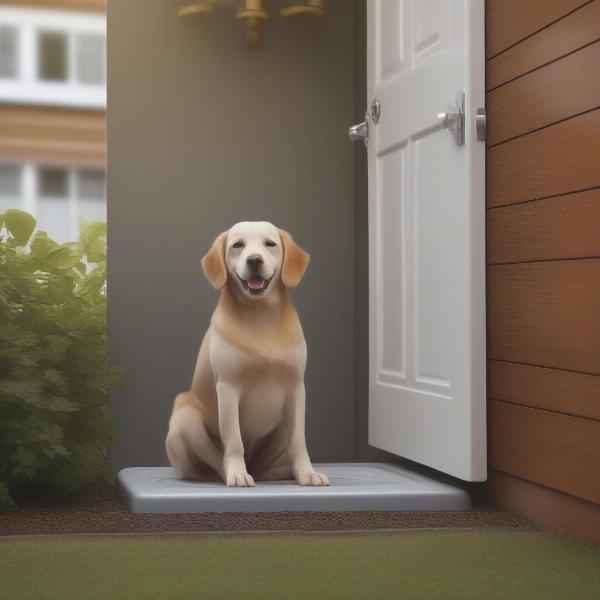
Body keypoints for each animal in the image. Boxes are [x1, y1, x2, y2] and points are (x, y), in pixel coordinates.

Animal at [166, 220, 330, 488]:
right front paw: (237, 472)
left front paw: (307, 472)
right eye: (238, 245)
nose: (254, 260)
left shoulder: (296, 388)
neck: (261, 316)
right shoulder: (228, 387)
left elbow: (298, 440)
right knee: (215, 460)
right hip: (185, 417)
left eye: (270, 244)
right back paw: (232, 472)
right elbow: (234, 441)